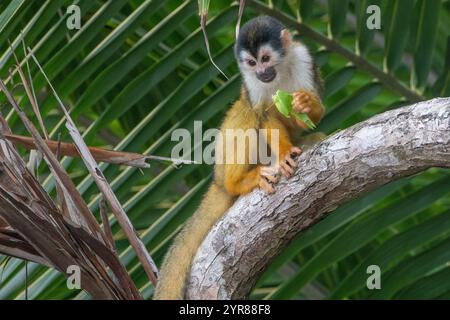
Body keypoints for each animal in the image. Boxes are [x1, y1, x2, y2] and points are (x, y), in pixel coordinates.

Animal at [155, 15, 324, 300]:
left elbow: (308, 112)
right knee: (247, 112)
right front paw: (284, 154)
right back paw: (240, 181)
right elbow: (265, 114)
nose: (261, 72)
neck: (279, 72)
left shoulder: (303, 58)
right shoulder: (251, 82)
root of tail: (217, 179)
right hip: (224, 164)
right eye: (252, 63)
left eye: (265, 58)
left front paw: (306, 104)